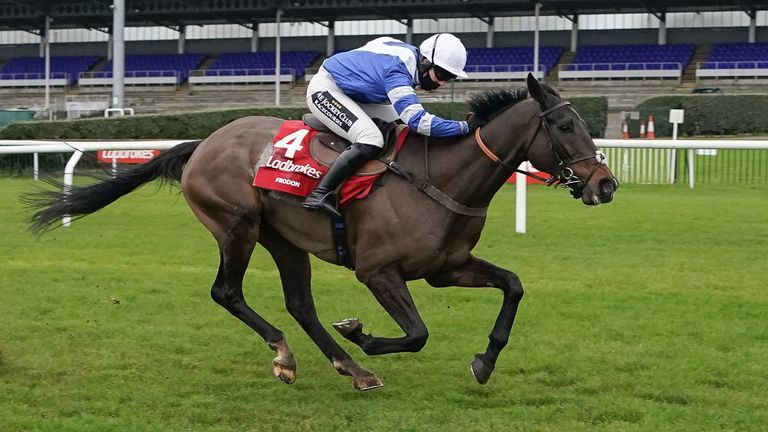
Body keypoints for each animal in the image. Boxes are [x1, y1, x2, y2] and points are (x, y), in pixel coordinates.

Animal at [27, 75, 616, 392]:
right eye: (566, 126)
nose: (605, 184)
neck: (442, 179)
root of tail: (204, 142)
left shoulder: (446, 269)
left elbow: (513, 285)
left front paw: (485, 361)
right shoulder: (377, 271)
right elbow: (417, 334)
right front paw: (362, 333)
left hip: (284, 240)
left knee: (300, 305)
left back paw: (348, 368)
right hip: (237, 226)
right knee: (227, 292)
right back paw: (293, 356)